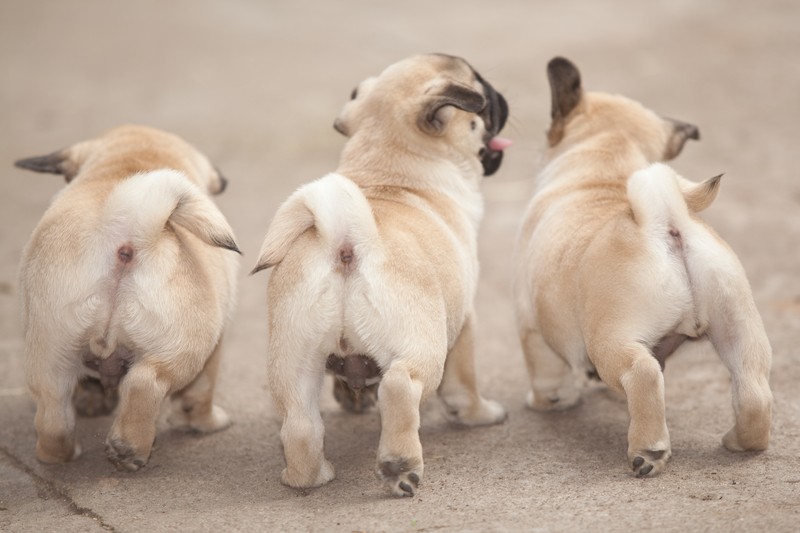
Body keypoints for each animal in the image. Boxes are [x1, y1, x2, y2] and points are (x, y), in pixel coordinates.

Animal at [17, 123, 239, 470]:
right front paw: (204, 422)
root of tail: (127, 231)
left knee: (54, 410)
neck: (131, 161)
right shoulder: (213, 347)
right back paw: (129, 448)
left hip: (51, 347)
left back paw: (59, 453)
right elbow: (200, 393)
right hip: (181, 348)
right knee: (145, 383)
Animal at [253, 53, 510, 494]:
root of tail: (346, 240)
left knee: (300, 423)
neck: (386, 170)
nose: (499, 96)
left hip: (293, 358)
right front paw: (480, 414)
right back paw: (399, 467)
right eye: (483, 94)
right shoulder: (464, 322)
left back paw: (309, 477)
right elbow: (464, 382)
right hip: (422, 345)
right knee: (400, 387)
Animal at [516, 59, 772, 478]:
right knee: (753, 390)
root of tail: (664, 219)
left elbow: (546, 373)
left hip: (610, 340)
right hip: (738, 326)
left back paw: (648, 451)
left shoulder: (531, 326)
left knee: (643, 375)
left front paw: (548, 402)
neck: (606, 165)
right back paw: (739, 440)